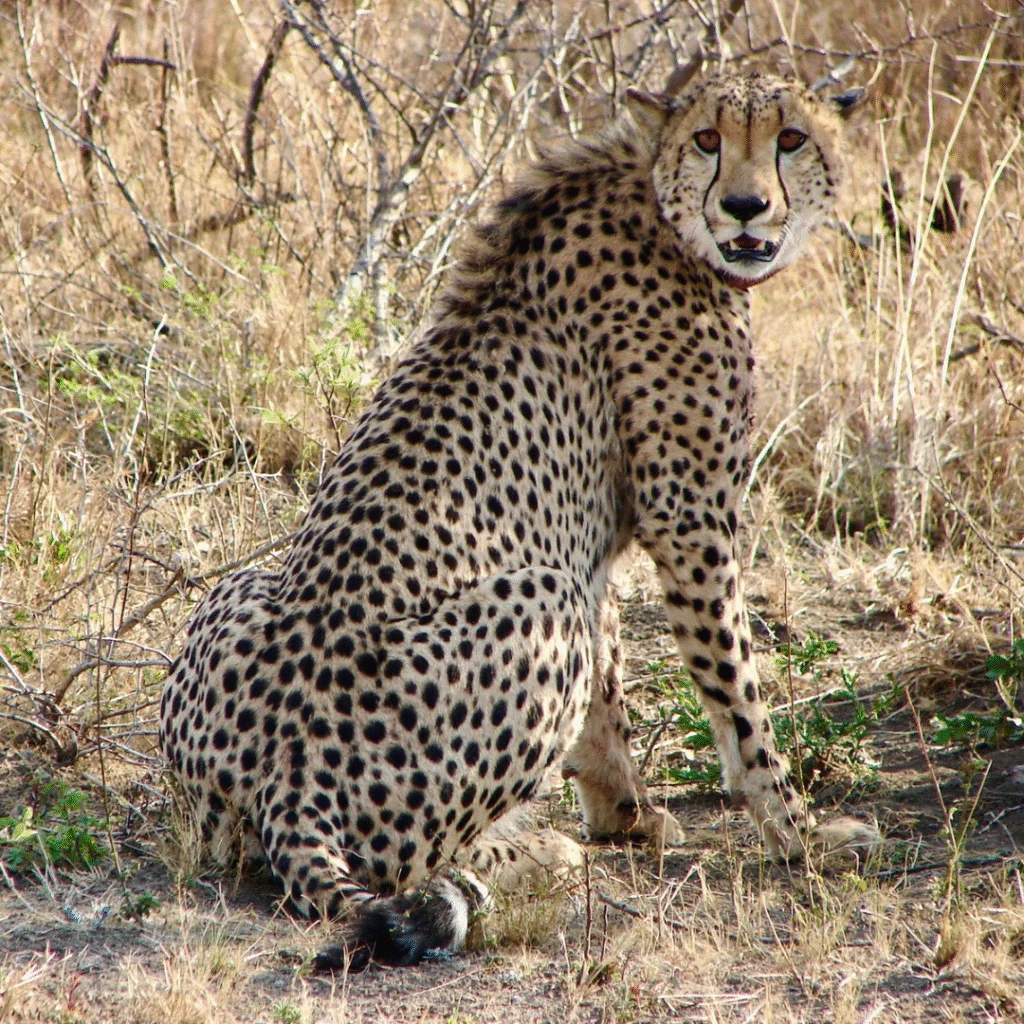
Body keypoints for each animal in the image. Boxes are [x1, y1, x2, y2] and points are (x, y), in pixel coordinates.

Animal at [160, 68, 880, 971]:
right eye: (708, 139)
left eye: (790, 139)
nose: (746, 207)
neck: (658, 203)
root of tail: (279, 772)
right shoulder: (690, 519)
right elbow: (738, 697)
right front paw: (799, 834)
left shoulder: (598, 540)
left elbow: (608, 693)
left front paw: (625, 816)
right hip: (539, 603)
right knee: (408, 860)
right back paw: (533, 850)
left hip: (240, 590)